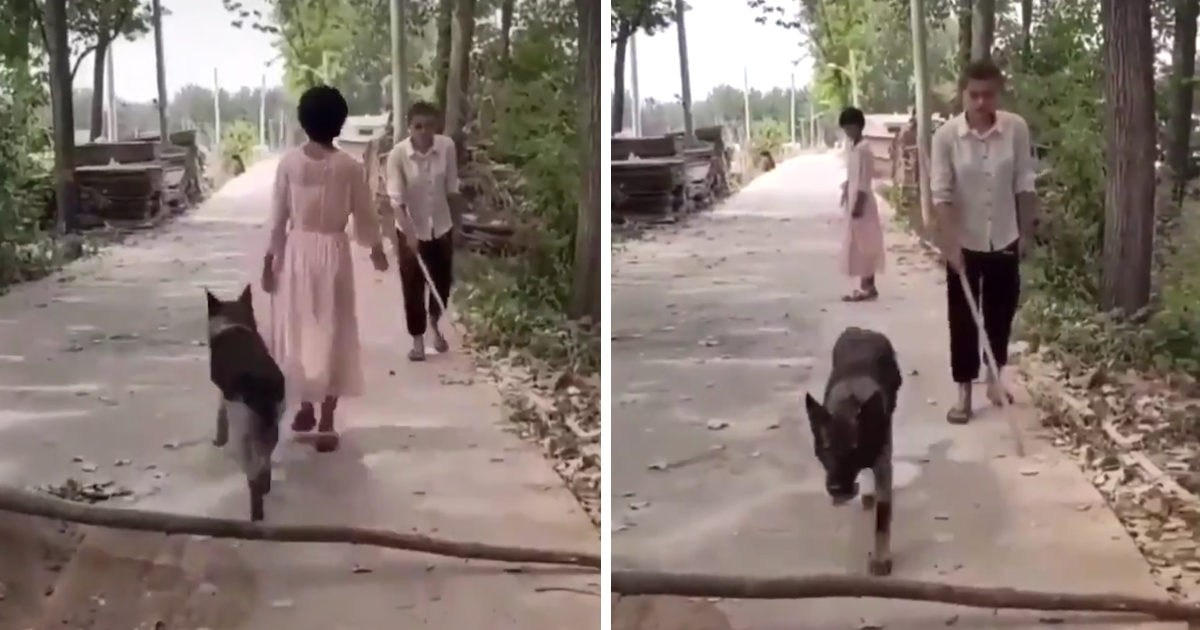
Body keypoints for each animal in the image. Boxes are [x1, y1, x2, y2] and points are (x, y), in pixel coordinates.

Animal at [205, 284, 284, 520]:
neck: (232, 321)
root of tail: (260, 381)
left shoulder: (224, 395)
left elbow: (220, 413)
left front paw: (218, 439)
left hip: (242, 430)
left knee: (252, 470)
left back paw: (256, 511)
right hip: (273, 421)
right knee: (265, 459)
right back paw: (264, 488)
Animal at [806, 326, 902, 578]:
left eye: (854, 449)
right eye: (826, 448)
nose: (837, 489)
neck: (848, 405)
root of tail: (863, 330)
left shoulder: (883, 462)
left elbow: (882, 518)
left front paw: (881, 557)